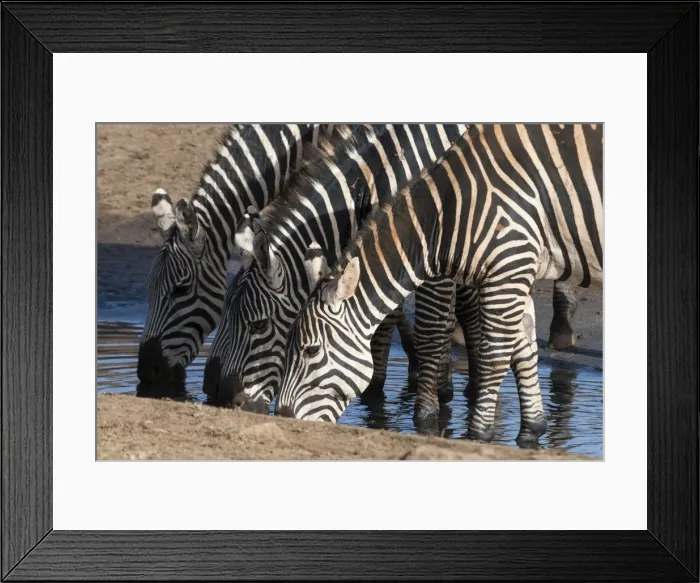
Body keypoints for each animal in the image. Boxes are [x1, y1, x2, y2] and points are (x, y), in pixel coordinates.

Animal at [202, 123, 469, 410]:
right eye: (222, 311)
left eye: (259, 326)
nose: (216, 394)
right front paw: (376, 391)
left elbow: (432, 326)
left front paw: (429, 404)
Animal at [276, 123, 602, 444]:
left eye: (310, 351)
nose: (281, 418)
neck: (449, 212)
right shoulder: (517, 270)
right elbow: (524, 349)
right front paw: (531, 429)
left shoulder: (506, 265)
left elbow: (488, 354)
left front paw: (473, 433)